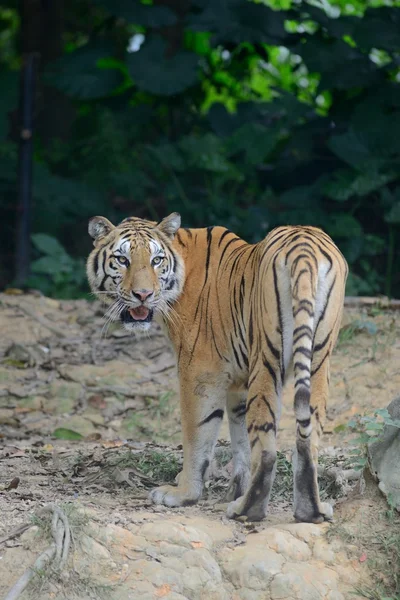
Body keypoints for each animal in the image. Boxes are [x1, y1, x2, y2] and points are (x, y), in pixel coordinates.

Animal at [86, 213, 346, 524]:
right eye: (122, 260)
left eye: (156, 260)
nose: (143, 295)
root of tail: (304, 247)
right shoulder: (238, 384)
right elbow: (241, 440)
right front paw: (234, 490)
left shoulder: (199, 372)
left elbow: (197, 435)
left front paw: (183, 493)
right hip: (319, 360)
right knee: (308, 438)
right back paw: (310, 511)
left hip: (267, 358)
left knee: (268, 448)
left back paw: (247, 510)